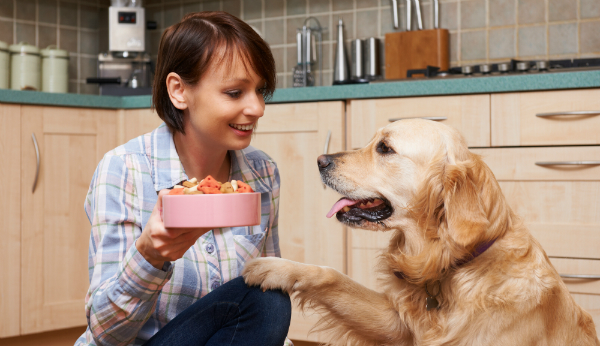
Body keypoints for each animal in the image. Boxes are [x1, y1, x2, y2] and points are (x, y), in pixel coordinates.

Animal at [241, 119, 596, 346]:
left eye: (384, 148)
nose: (320, 160)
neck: (451, 263)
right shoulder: (395, 325)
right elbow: (332, 275)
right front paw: (276, 267)